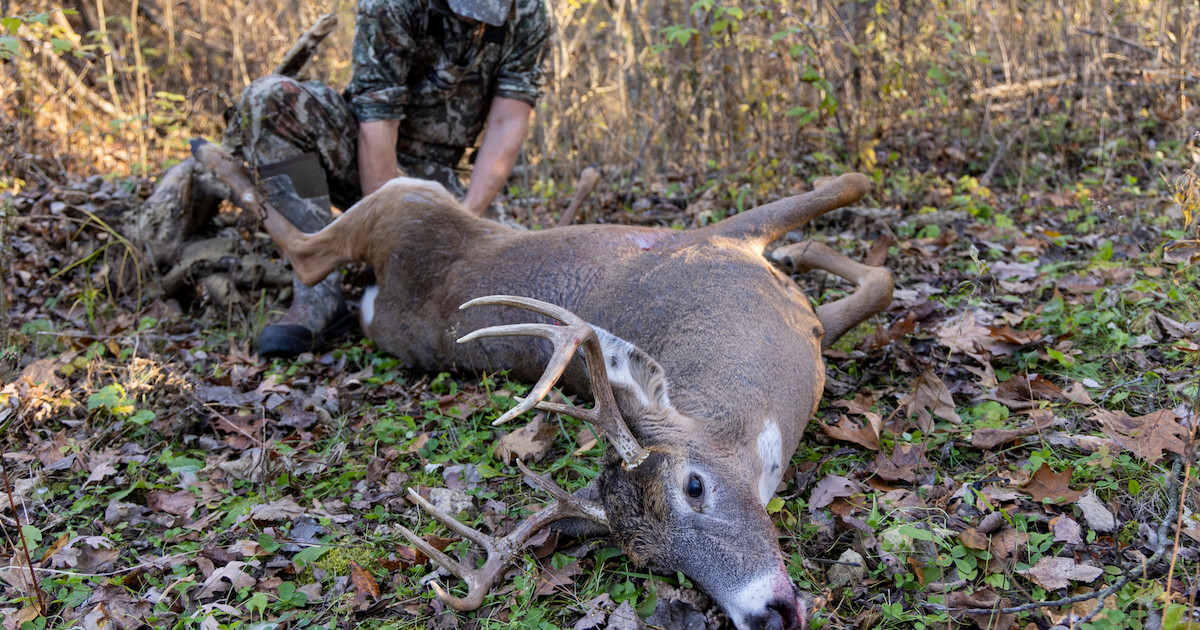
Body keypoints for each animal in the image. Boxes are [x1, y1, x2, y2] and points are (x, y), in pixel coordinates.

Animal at [191, 139, 894, 630]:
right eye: (653, 563)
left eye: (694, 485)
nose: (764, 615)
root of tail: (383, 297)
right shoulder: (726, 244)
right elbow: (866, 226)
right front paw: (811, 252)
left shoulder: (740, 256)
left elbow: (858, 206)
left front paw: (805, 253)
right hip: (408, 198)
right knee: (311, 252)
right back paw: (210, 155)